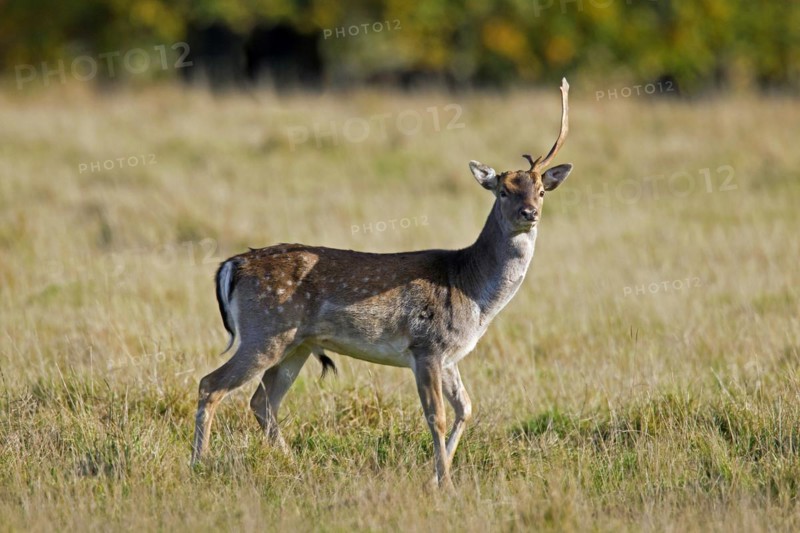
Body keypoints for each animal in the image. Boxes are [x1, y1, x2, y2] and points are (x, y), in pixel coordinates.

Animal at [191, 78, 572, 489]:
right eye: (503, 191)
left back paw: (293, 465)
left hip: (297, 343)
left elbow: (466, 408)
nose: (529, 213)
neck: (474, 294)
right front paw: (445, 484)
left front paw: (438, 476)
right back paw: (199, 464)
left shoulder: (449, 355)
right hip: (264, 331)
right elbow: (436, 416)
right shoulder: (426, 346)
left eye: (541, 190)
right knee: (210, 384)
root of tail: (232, 265)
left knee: (262, 402)